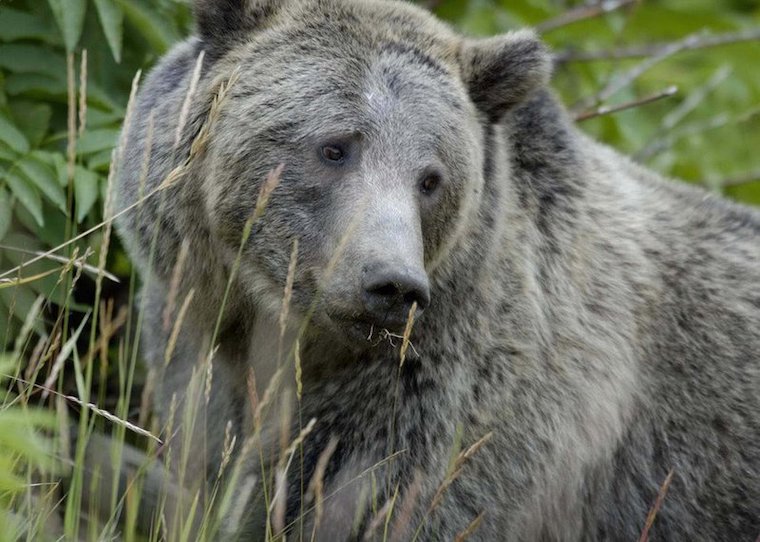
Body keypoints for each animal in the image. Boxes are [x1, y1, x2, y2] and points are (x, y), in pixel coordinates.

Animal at [113, 0, 760, 540]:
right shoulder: (194, 340)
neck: (288, 335)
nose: (392, 283)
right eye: (334, 147)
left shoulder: (451, 402)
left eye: (431, 178)